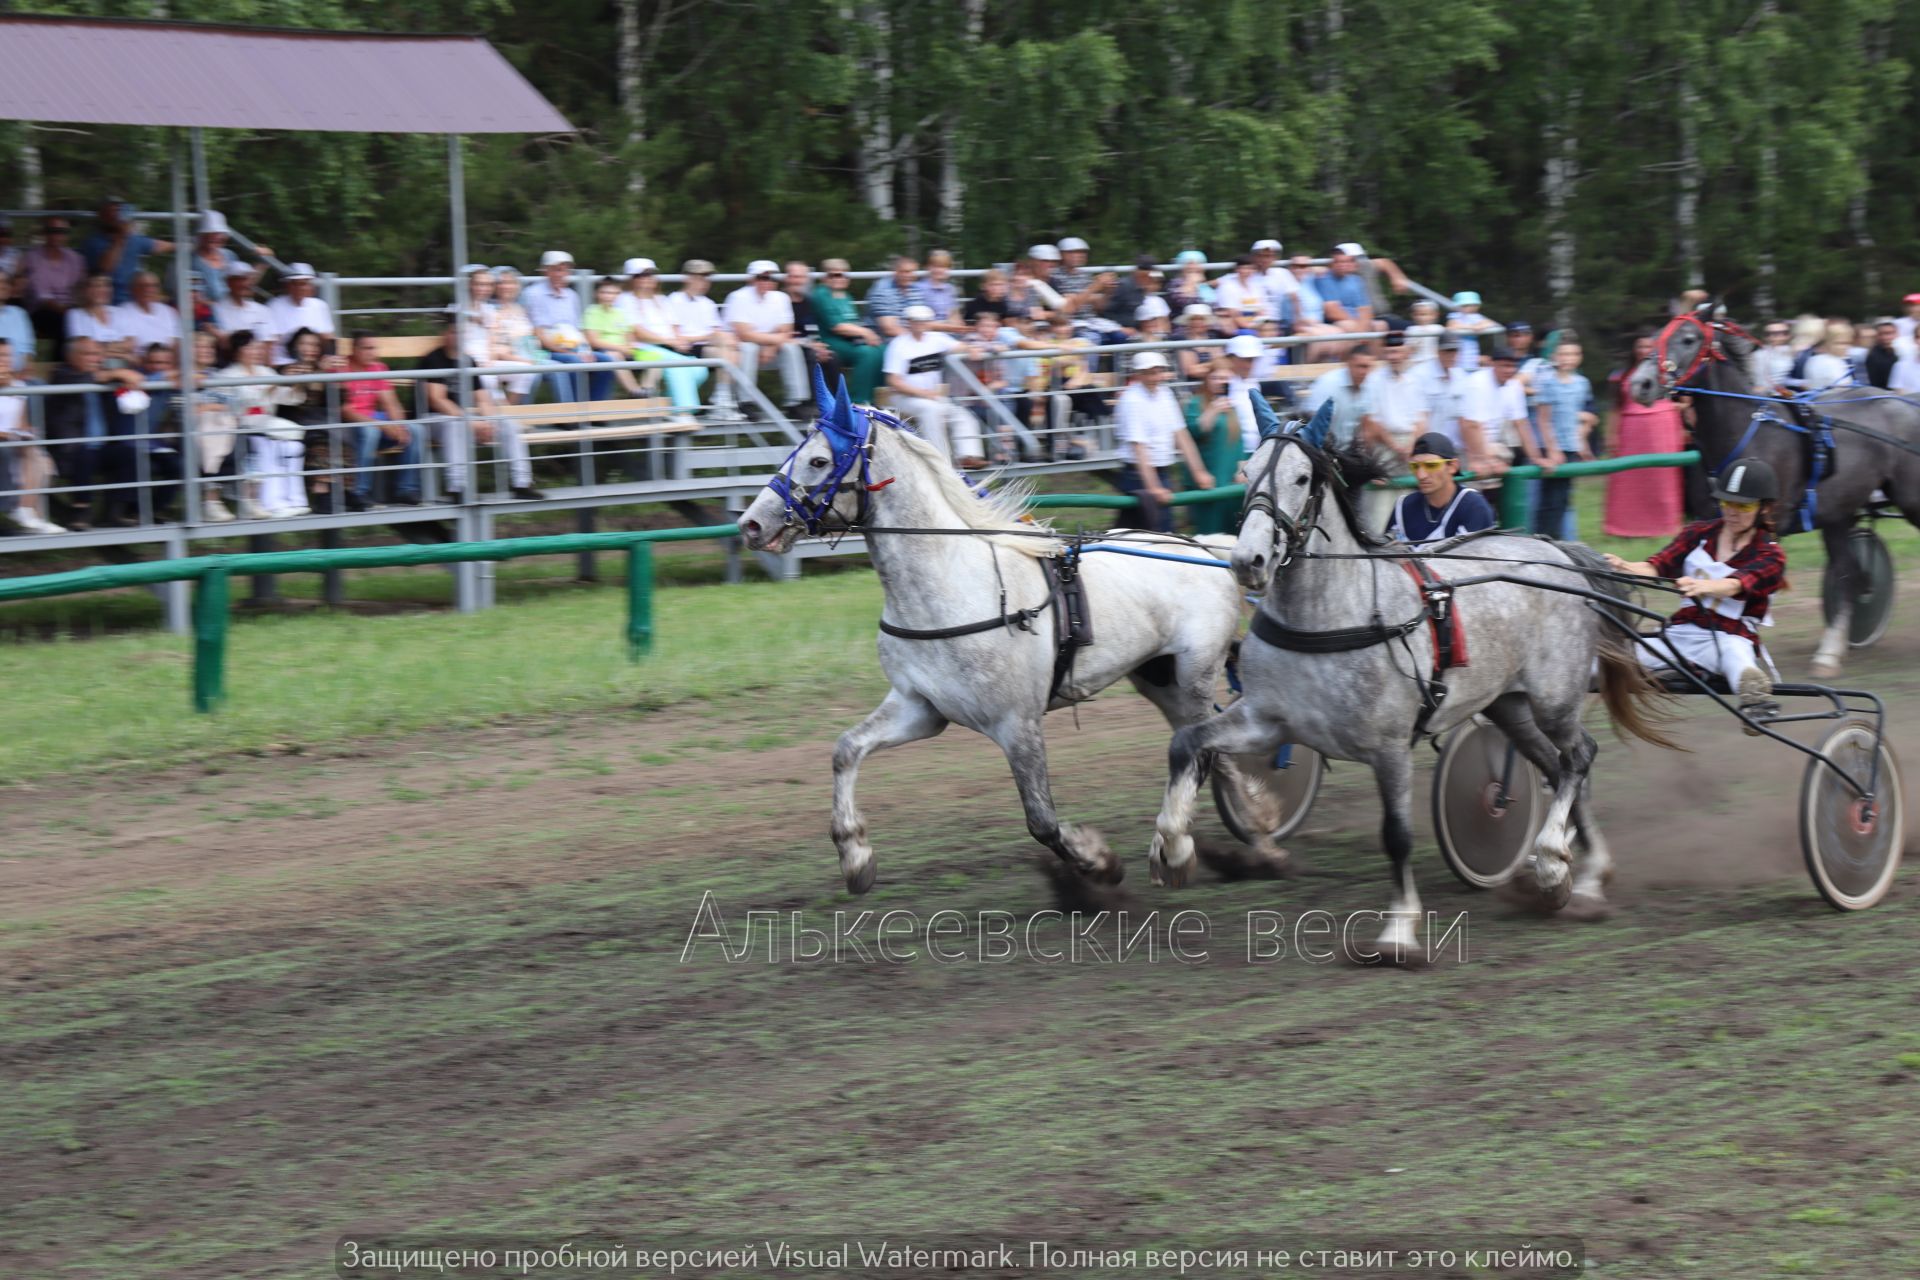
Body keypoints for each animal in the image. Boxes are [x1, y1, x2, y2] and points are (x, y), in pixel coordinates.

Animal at [733, 370, 1244, 890]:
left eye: (818, 460)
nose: (751, 524)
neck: (952, 584)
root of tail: (1206, 546)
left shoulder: (1017, 723)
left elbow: (1041, 820)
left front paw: (1098, 862)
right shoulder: (920, 707)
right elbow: (845, 750)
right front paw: (855, 855)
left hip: (1195, 672)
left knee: (1197, 753)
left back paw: (1177, 848)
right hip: (1159, 678)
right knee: (1205, 748)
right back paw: (1251, 825)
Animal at [1144, 433, 1674, 959]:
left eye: (1301, 477)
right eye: (1247, 471)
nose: (1247, 561)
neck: (1330, 617)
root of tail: (1557, 552)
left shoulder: (1389, 746)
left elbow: (1396, 835)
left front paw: (1398, 932)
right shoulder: (1265, 721)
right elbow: (1188, 745)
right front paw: (1172, 851)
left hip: (1555, 699)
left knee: (1579, 756)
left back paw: (1557, 865)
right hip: (1510, 706)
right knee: (1558, 768)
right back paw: (1574, 873)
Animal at [1628, 305, 1920, 679]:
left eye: (1689, 339)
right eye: (1655, 336)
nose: (1641, 383)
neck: (1745, 433)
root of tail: (1904, 400)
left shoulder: (1769, 527)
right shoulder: (1710, 521)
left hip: (1910, 500)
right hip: (1838, 515)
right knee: (1848, 574)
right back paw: (1829, 653)